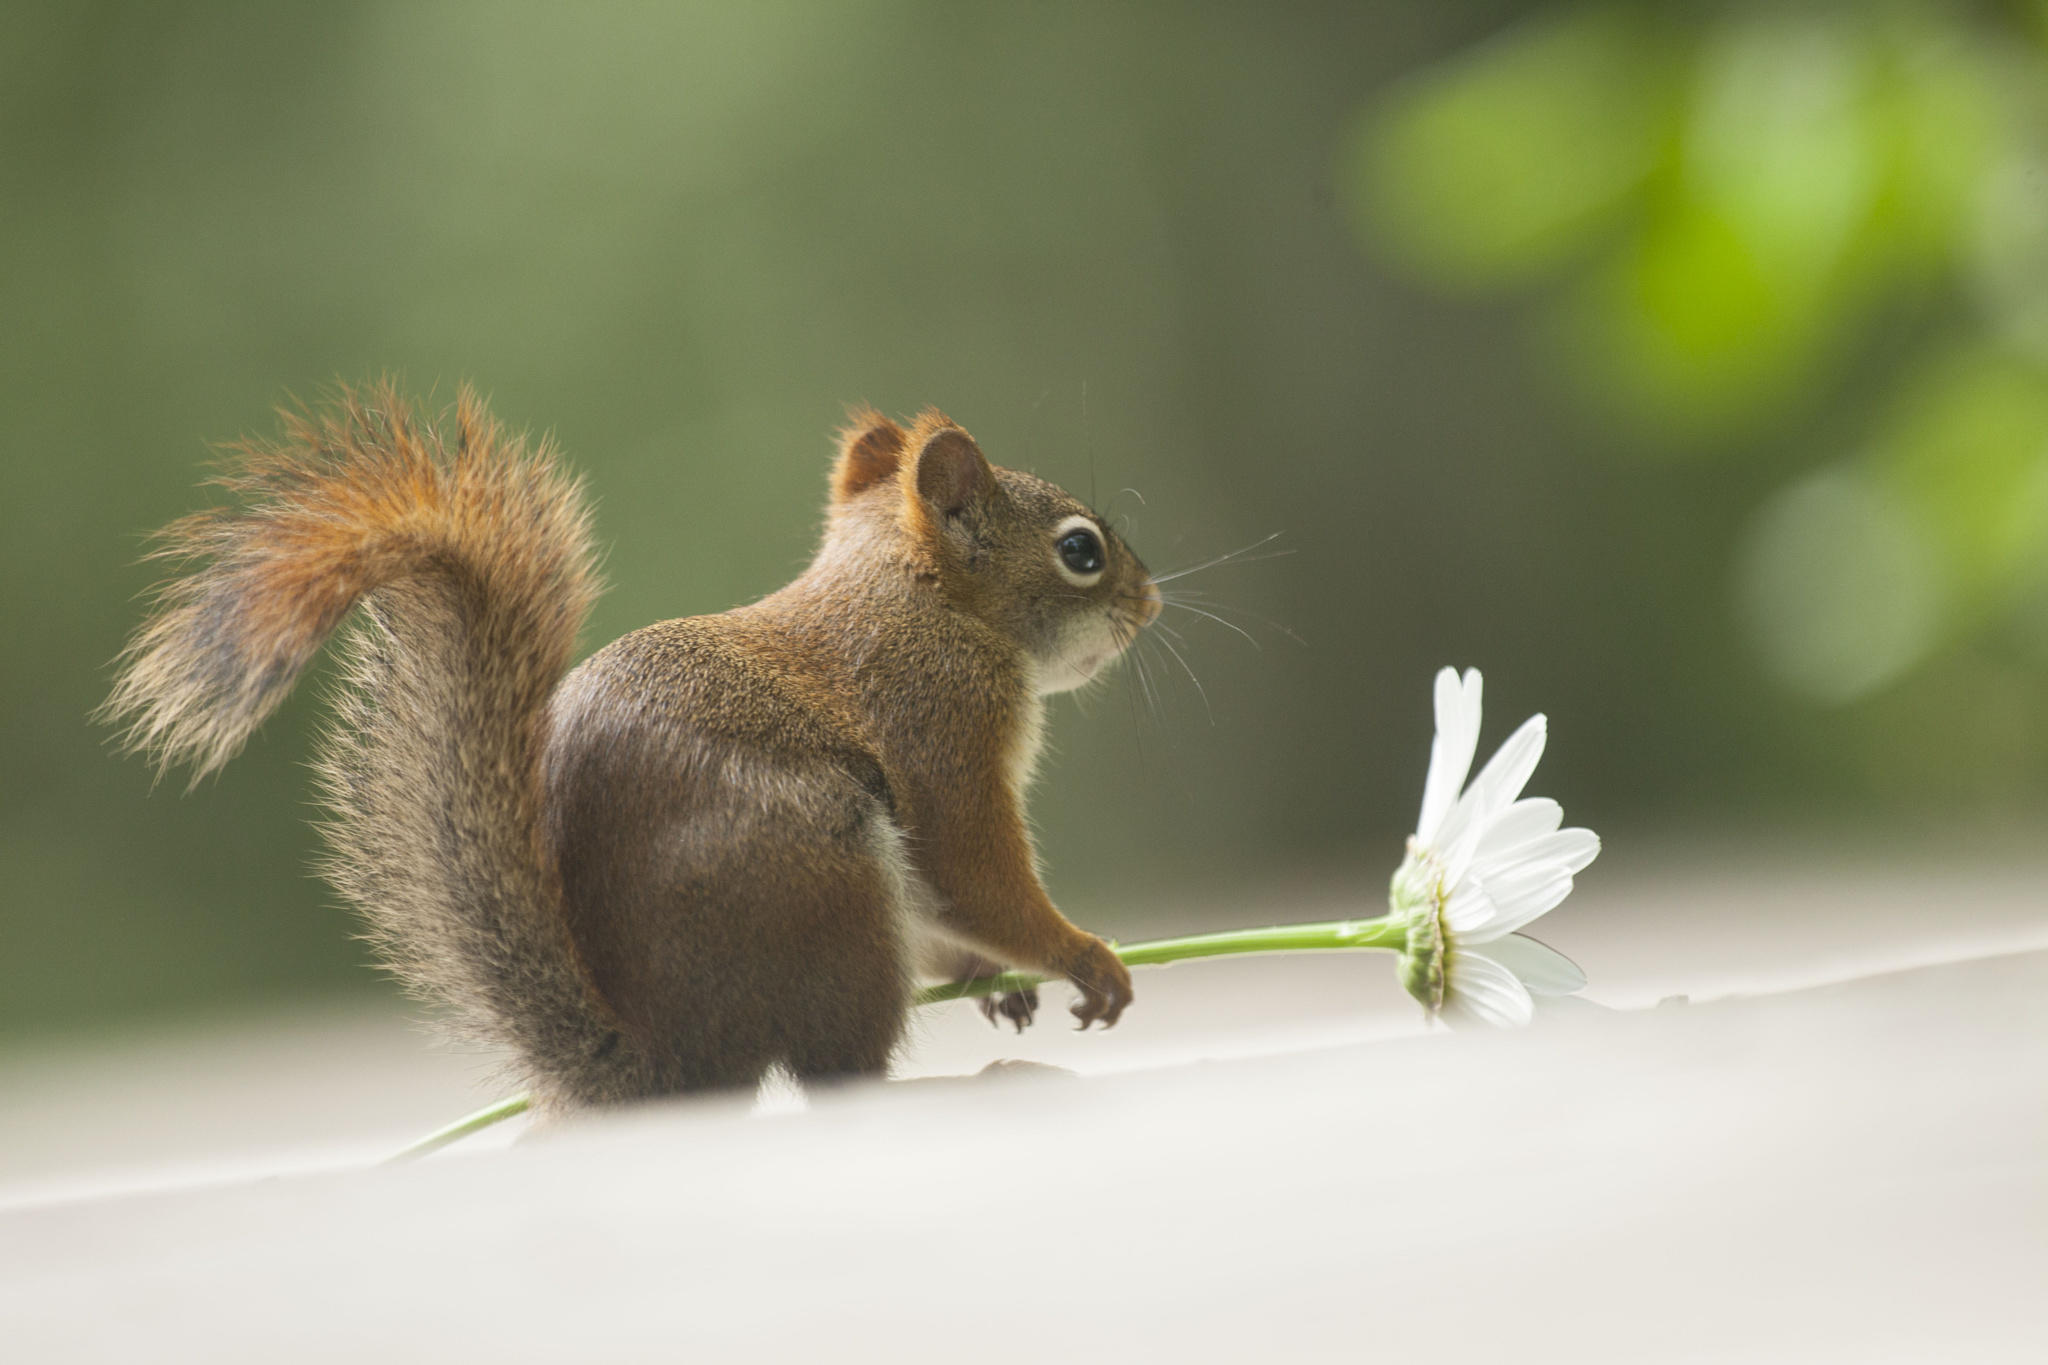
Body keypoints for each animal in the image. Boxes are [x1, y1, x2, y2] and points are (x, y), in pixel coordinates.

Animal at [103, 382, 1163, 1113]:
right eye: (1081, 549)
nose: (1151, 604)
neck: (921, 599)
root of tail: (664, 1056)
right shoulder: (945, 724)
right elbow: (975, 872)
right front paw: (1081, 957)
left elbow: (950, 909)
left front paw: (987, 979)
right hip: (827, 881)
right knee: (839, 1075)